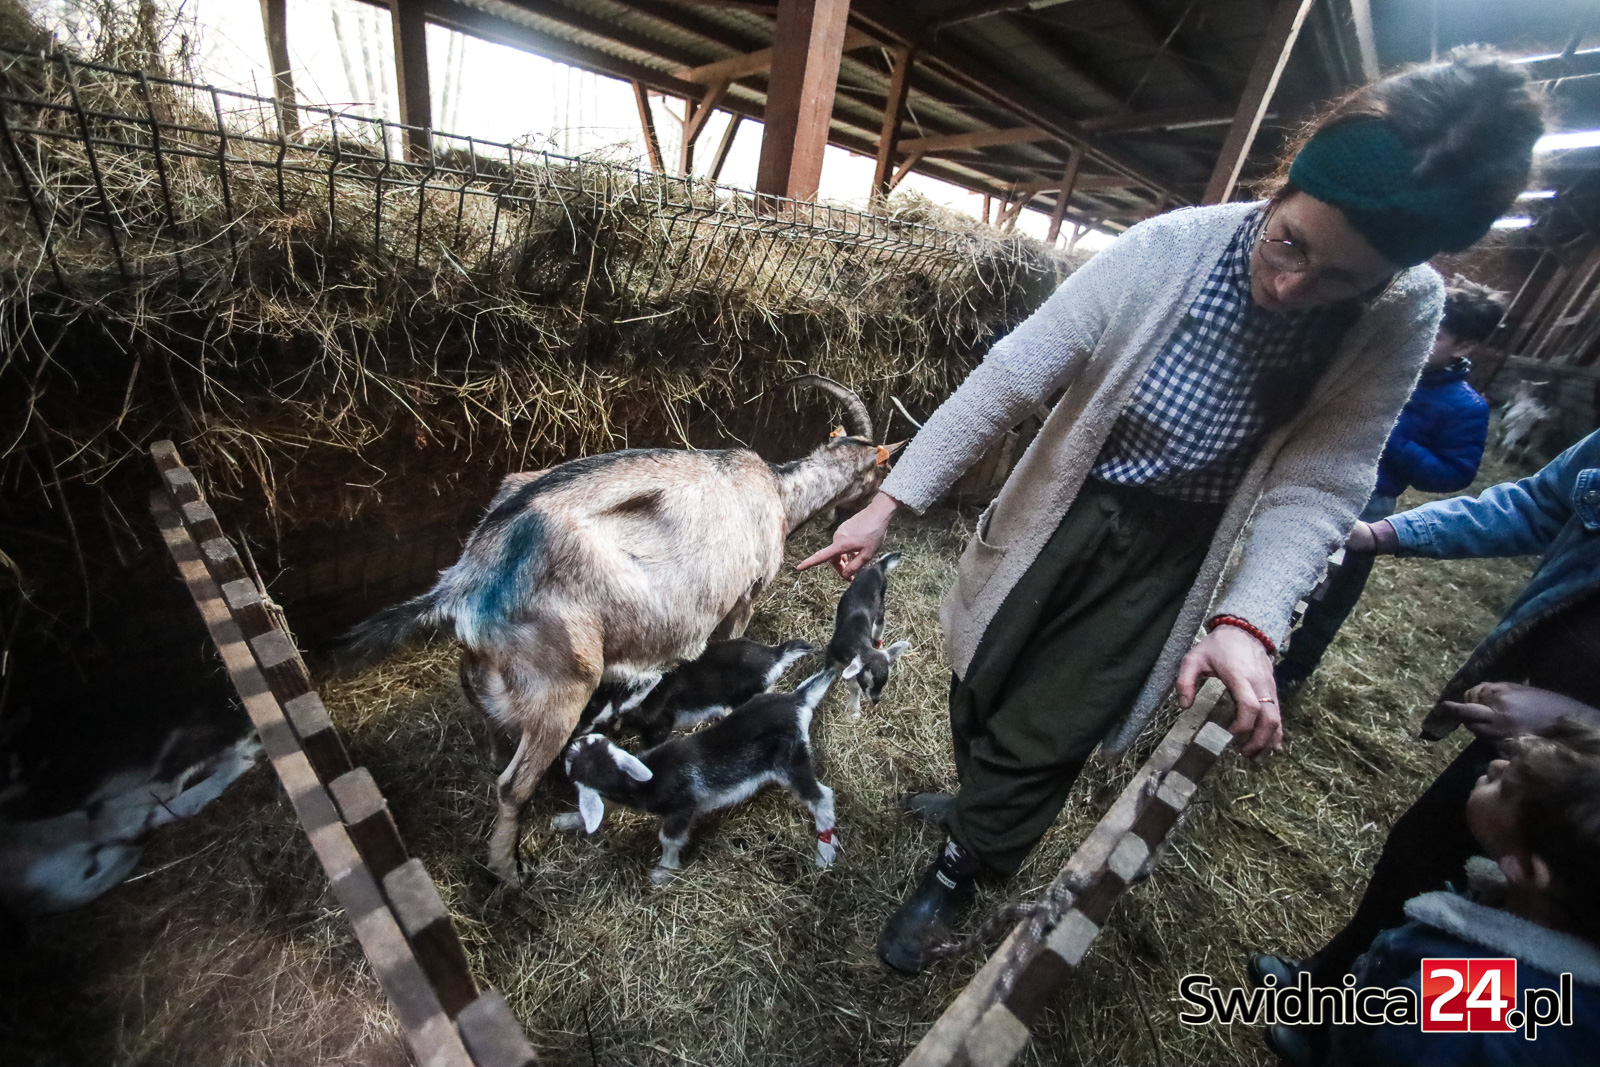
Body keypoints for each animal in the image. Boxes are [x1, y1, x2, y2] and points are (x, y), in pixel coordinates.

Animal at [554, 669, 840, 884]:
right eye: (592, 742)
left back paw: (825, 851)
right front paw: (563, 821)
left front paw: (664, 871)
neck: (648, 778)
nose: (570, 743)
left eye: (571, 764)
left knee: (821, 796)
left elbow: (669, 838)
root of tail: (797, 701)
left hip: (791, 761)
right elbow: (604, 806)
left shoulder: (683, 807)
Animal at [824, 551, 911, 718]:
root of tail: (877, 566)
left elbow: (853, 686)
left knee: (880, 622)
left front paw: (855, 709)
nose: (876, 700)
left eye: (884, 683)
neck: (856, 640)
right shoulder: (833, 655)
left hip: (881, 601)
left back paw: (878, 641)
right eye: (867, 682)